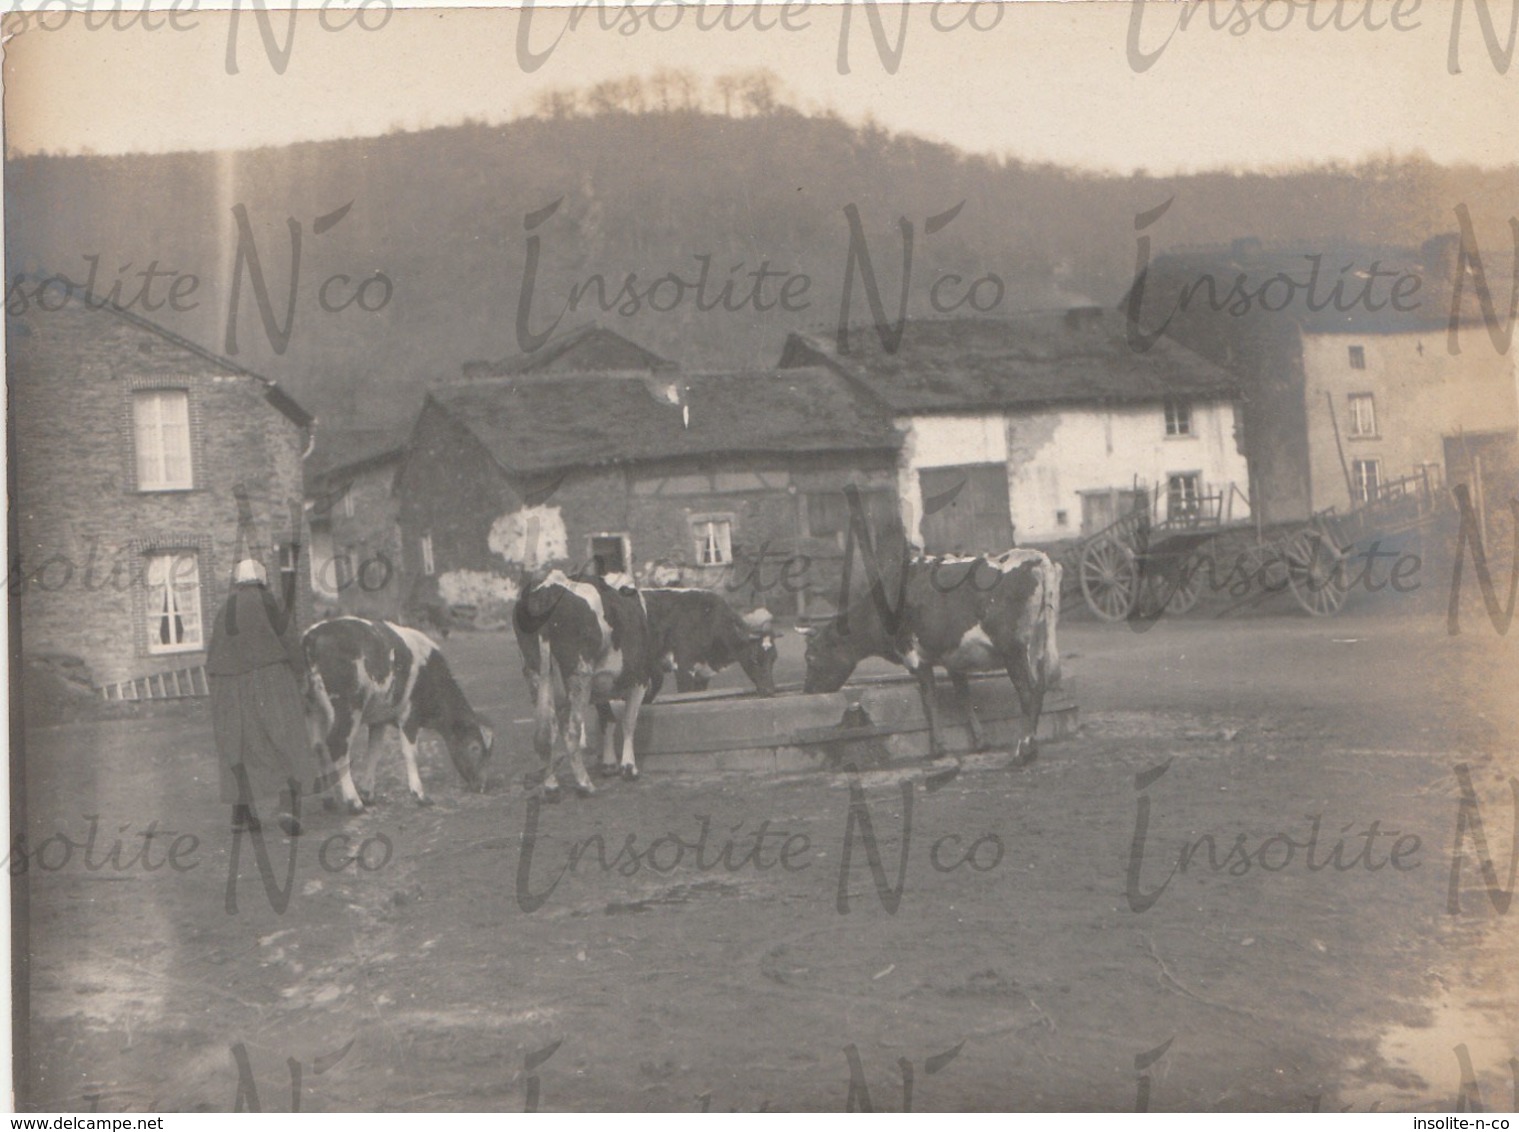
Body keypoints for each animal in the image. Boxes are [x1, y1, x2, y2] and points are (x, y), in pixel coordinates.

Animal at [305, 616, 495, 814]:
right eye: (474, 747)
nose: (482, 786)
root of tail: (314, 633)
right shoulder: (410, 714)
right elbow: (411, 753)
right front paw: (420, 795)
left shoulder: (379, 718)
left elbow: (374, 752)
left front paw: (368, 794)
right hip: (348, 707)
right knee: (337, 744)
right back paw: (353, 802)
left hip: (312, 708)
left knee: (318, 746)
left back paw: (329, 799)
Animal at [513, 565, 656, 796]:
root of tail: (545, 590)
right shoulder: (639, 678)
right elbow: (628, 722)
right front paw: (629, 768)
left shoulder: (601, 686)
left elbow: (608, 720)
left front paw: (609, 764)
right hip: (580, 673)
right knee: (572, 730)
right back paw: (585, 784)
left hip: (535, 672)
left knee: (548, 730)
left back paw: (551, 786)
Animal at [802, 543, 1063, 762]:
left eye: (810, 658)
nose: (808, 692)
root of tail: (1036, 557)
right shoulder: (954, 658)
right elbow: (963, 698)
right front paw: (980, 742)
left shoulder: (916, 657)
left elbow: (930, 700)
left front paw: (938, 748)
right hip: (1038, 645)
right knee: (1040, 688)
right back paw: (1030, 748)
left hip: (1014, 650)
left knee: (1028, 692)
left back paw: (1023, 751)